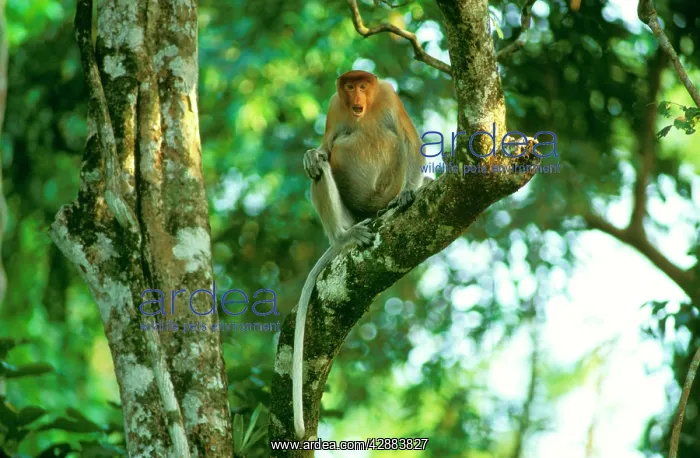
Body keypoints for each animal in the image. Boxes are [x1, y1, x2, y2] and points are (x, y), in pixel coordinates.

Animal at [293, 70, 431, 439]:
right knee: (323, 165)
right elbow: (326, 146)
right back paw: (345, 236)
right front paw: (310, 154)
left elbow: (409, 140)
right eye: (349, 86)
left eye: (364, 85)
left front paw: (411, 192)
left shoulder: (388, 97)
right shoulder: (334, 106)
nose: (355, 94)